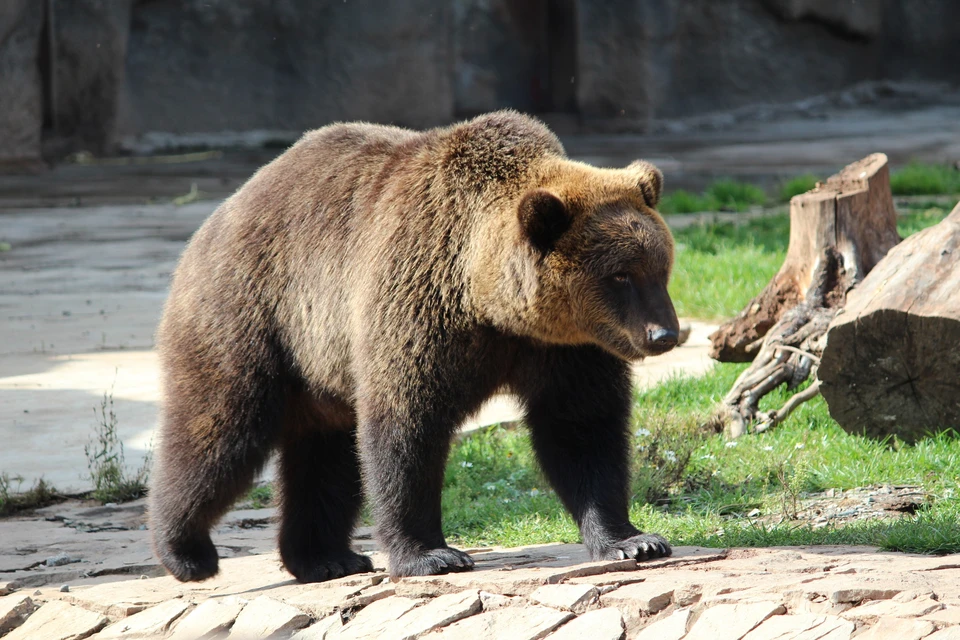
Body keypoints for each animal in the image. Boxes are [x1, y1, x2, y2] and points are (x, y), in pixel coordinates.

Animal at [150, 111, 680, 584]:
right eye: (620, 275)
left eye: (660, 267)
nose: (665, 334)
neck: (489, 302)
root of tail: (222, 211)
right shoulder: (418, 305)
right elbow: (407, 429)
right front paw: (431, 554)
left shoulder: (567, 347)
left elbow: (583, 428)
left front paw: (633, 540)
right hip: (256, 316)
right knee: (221, 431)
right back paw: (185, 551)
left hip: (321, 369)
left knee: (325, 457)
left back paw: (325, 558)